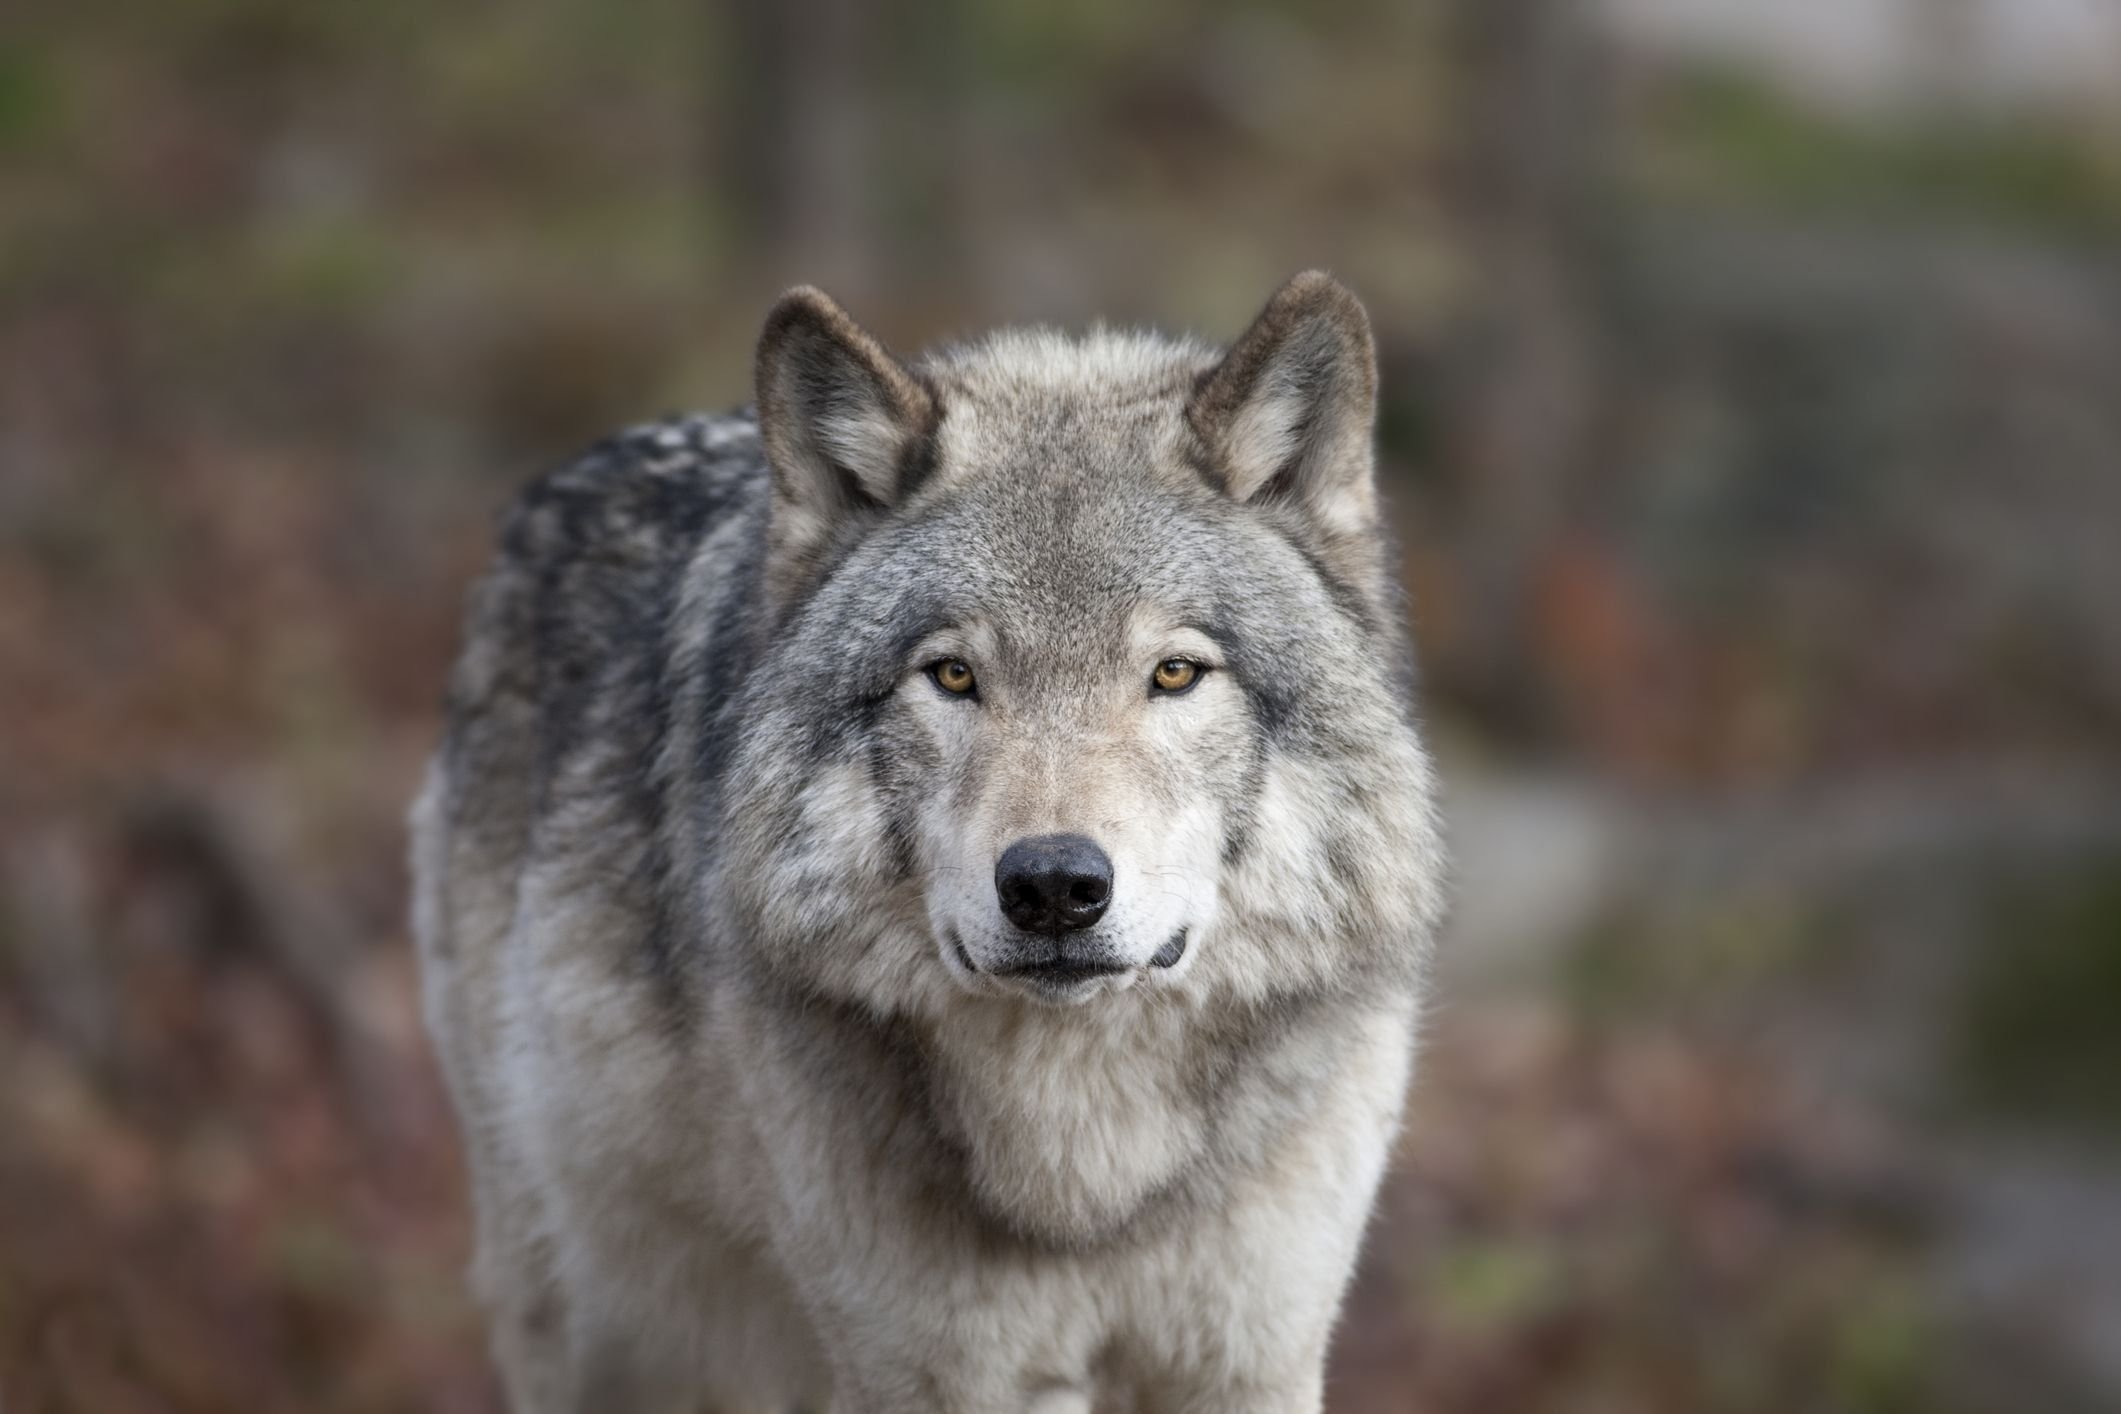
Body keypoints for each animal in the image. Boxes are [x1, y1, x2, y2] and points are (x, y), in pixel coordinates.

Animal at [407, 271, 1450, 1407]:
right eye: (952, 675)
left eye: (1174, 673)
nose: (1052, 885)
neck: (1082, 1174)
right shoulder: (930, 1372)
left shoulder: (1249, 1358)